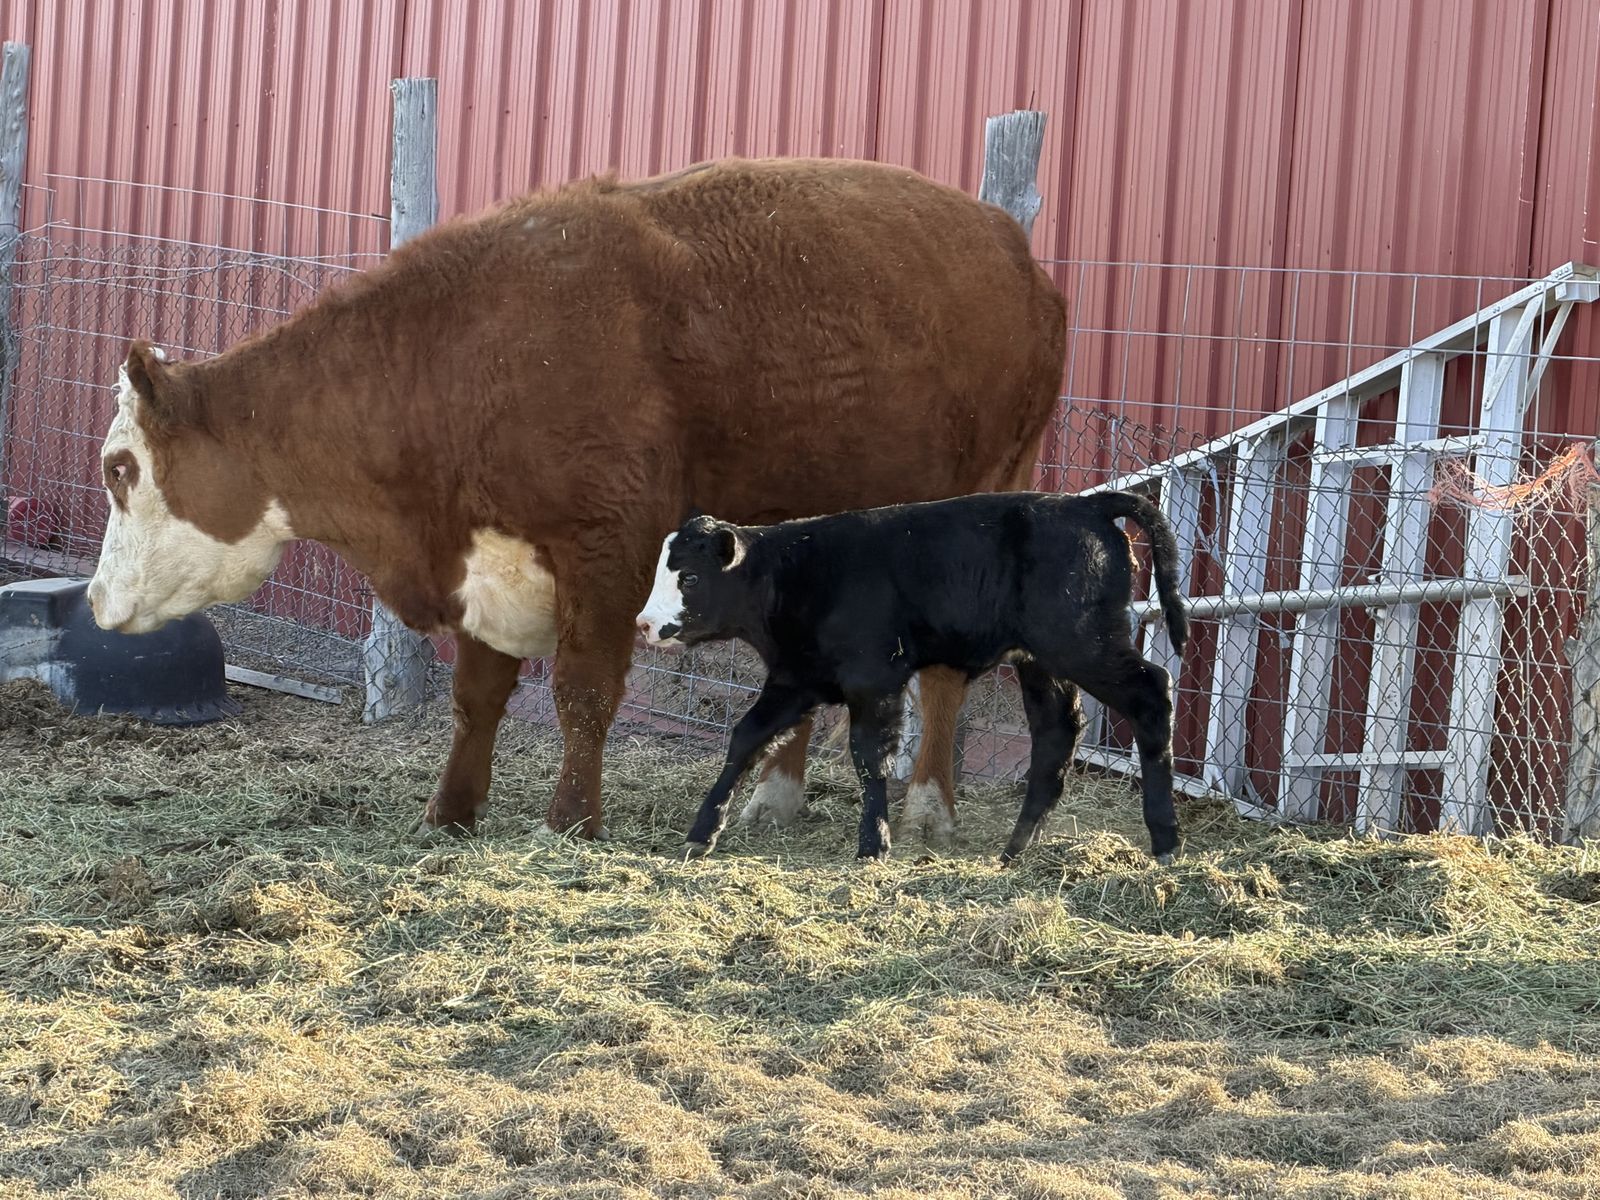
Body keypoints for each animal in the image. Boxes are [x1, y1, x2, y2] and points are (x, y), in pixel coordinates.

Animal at [84, 157, 1067, 843]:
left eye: (118, 468)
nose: (93, 601)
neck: (461, 356)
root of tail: (1015, 249)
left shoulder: (608, 547)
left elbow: (583, 692)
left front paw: (571, 823)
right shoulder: (487, 558)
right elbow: (477, 696)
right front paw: (451, 812)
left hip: (978, 503)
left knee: (946, 673)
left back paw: (930, 806)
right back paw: (777, 796)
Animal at [636, 491, 1189, 864]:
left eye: (689, 577)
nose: (644, 623)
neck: (800, 572)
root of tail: (1084, 503)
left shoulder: (874, 680)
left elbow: (869, 756)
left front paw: (873, 843)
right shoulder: (796, 680)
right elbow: (746, 739)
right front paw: (702, 831)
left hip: (1082, 645)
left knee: (1152, 693)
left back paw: (1165, 839)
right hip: (1042, 662)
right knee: (1056, 734)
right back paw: (1015, 848)